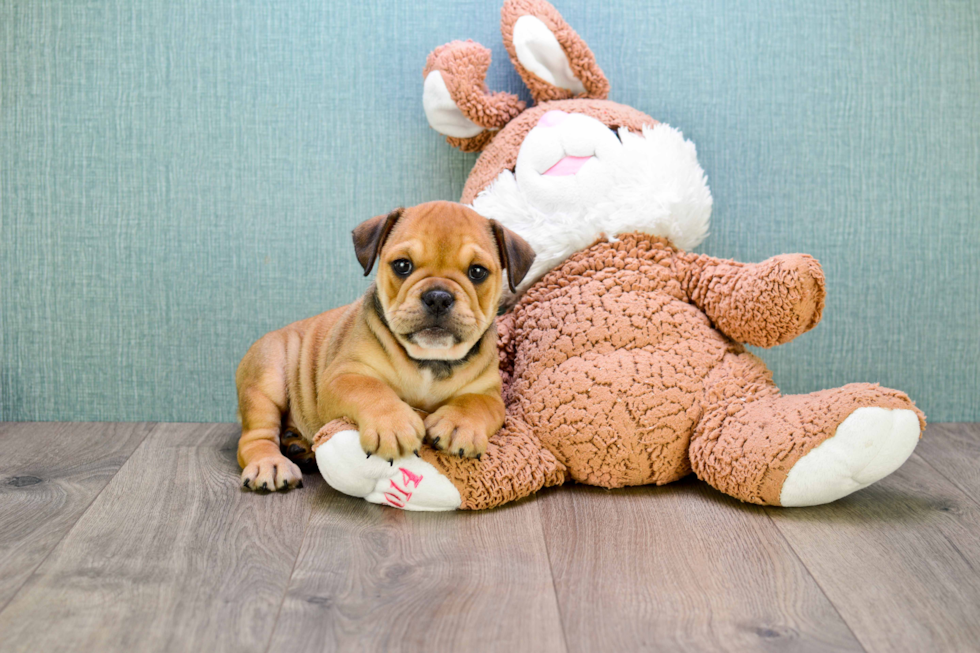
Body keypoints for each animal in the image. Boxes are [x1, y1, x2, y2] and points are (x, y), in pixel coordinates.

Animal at [235, 199, 536, 488]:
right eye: (402, 265)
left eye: (477, 272)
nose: (438, 297)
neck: (428, 358)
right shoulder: (343, 376)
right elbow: (371, 389)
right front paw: (393, 424)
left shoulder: (489, 393)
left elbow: (475, 403)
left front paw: (459, 425)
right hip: (266, 379)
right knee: (255, 438)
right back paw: (271, 464)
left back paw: (298, 445)